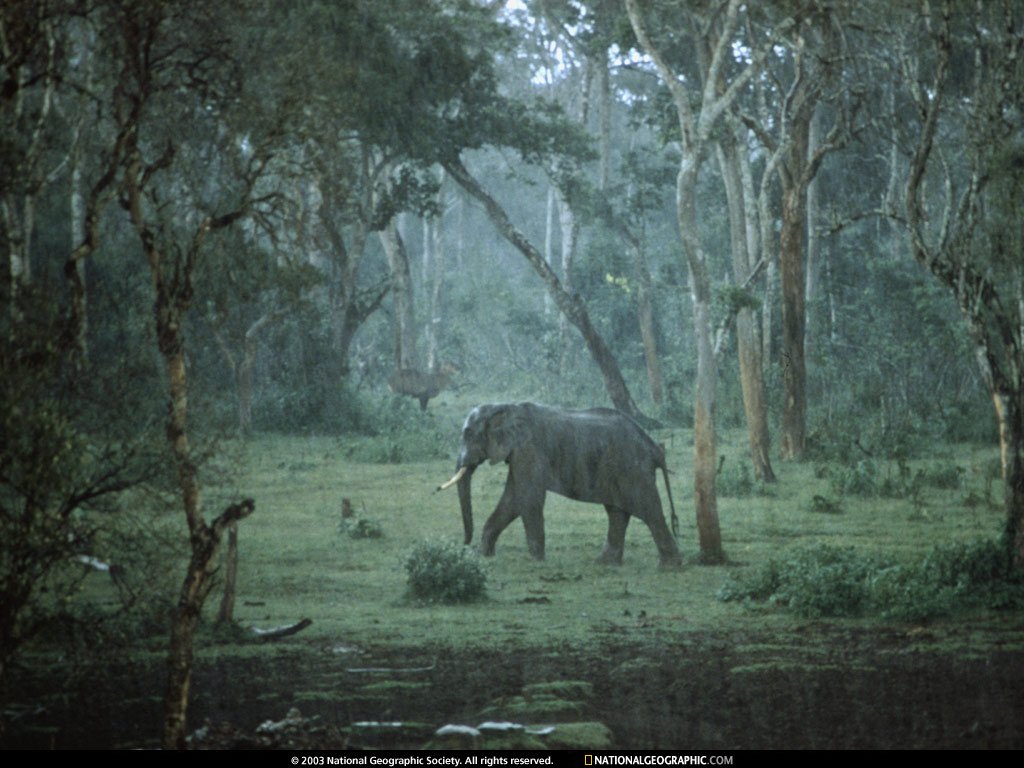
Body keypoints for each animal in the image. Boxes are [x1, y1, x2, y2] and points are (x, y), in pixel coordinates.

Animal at [438, 399, 684, 569]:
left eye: (468, 434)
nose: (464, 545)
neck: (506, 406)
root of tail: (653, 447)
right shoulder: (519, 453)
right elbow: (513, 499)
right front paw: (484, 556)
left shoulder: (529, 449)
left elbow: (528, 498)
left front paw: (537, 561)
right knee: (617, 513)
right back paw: (604, 563)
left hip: (633, 469)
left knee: (648, 510)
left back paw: (669, 567)